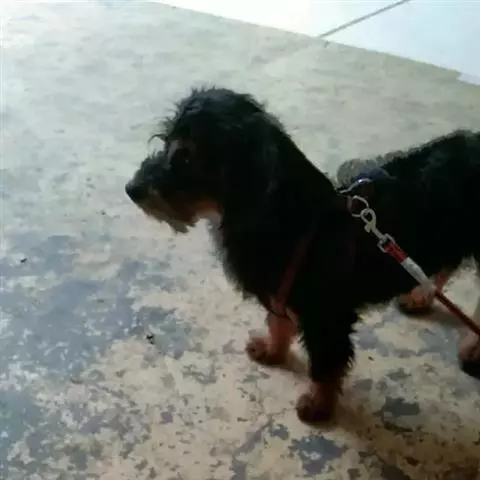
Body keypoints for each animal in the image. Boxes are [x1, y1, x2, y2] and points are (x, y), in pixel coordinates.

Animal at [126, 87, 480, 423]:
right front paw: (272, 350)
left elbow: (324, 363)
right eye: (166, 142)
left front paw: (317, 404)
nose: (132, 189)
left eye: (186, 156)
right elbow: (277, 322)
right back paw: (421, 295)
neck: (292, 218)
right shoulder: (281, 294)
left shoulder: (327, 318)